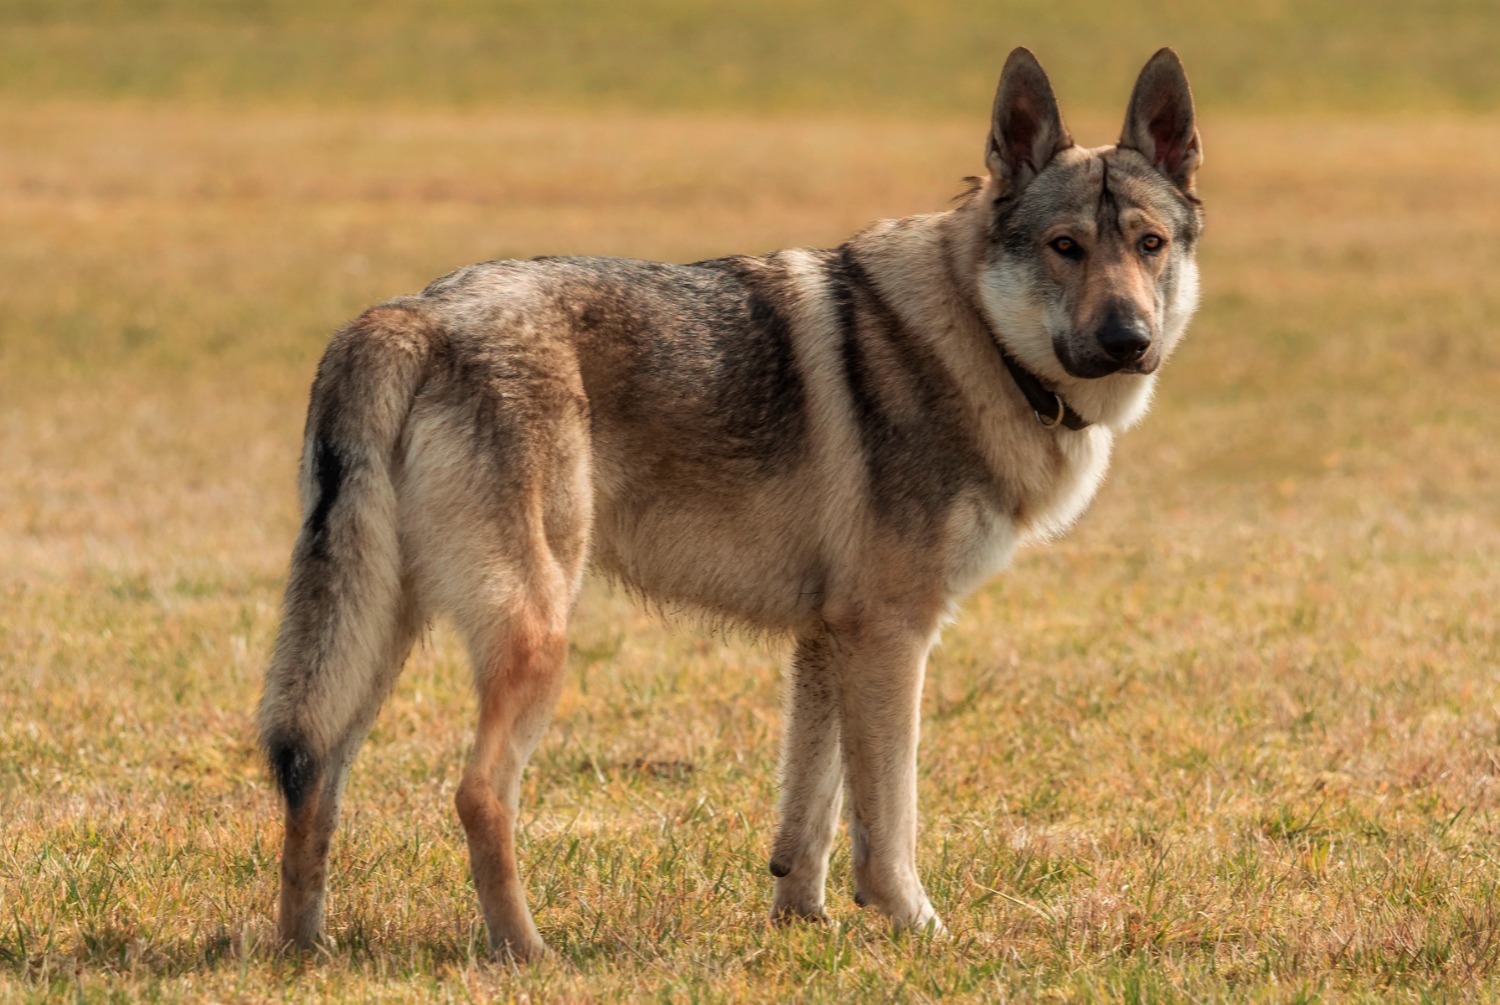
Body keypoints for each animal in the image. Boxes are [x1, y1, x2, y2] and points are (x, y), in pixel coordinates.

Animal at [255, 47, 1194, 960]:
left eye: (1149, 244)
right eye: (1065, 245)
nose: (1128, 340)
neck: (975, 337)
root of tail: (409, 314)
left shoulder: (828, 639)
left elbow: (810, 818)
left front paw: (803, 928)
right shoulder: (893, 634)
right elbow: (888, 823)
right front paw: (924, 931)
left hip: (373, 641)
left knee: (313, 779)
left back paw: (306, 951)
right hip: (534, 638)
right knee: (478, 792)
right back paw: (527, 952)